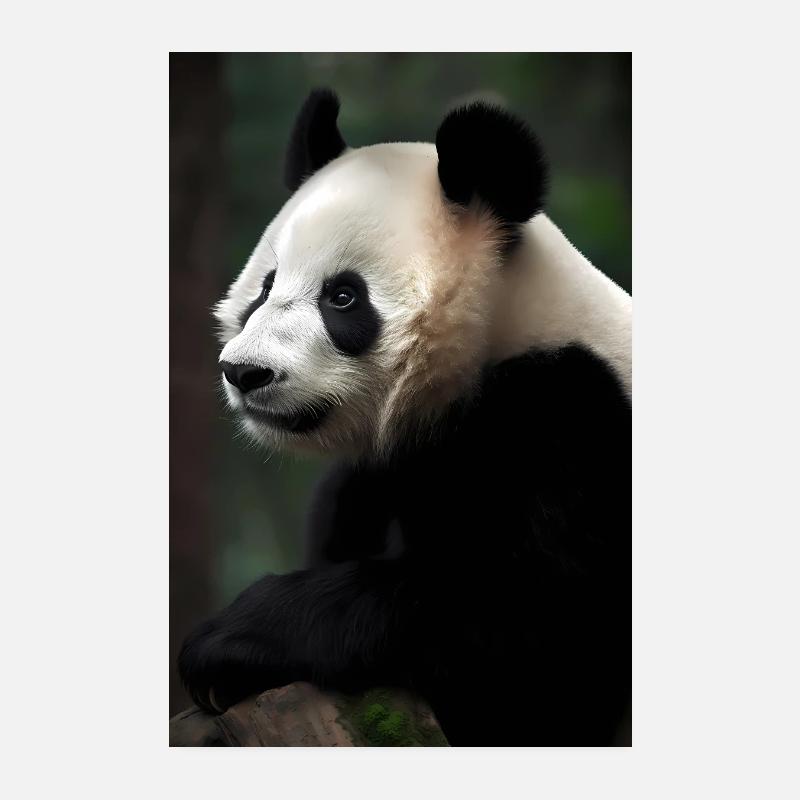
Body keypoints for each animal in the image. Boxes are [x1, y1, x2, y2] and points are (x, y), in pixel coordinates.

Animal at [178, 88, 631, 746]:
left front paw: (230, 639)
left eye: (343, 297)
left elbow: (532, 628)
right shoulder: (377, 475)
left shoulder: (573, 421)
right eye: (265, 286)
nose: (245, 372)